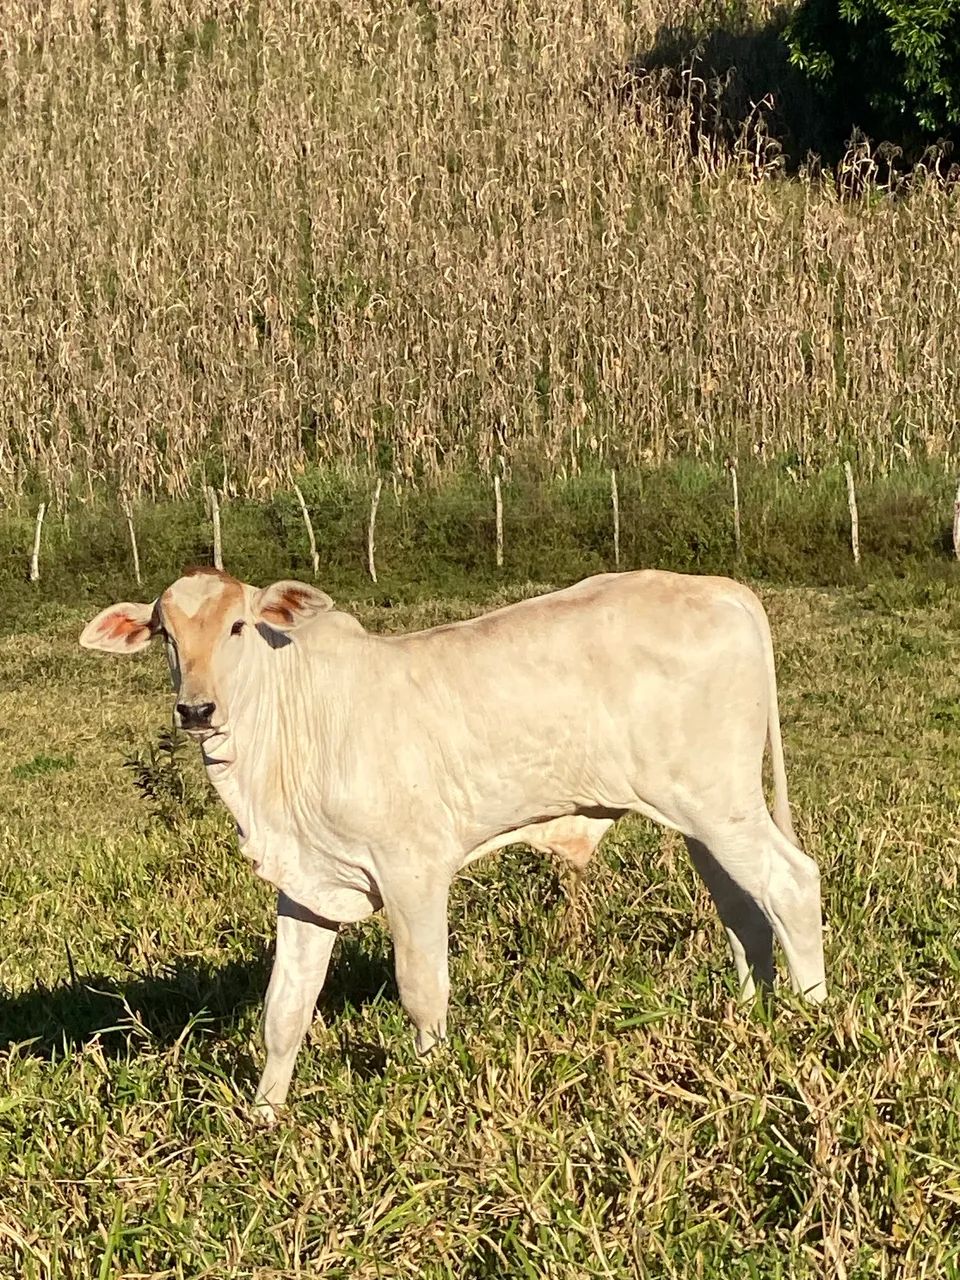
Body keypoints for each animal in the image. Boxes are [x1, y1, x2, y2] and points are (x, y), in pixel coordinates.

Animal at [80, 567, 826, 1118]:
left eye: (237, 626)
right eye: (166, 634)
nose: (196, 709)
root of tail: (725, 589)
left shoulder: (413, 870)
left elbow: (422, 989)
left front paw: (432, 1085)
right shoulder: (308, 886)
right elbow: (284, 1010)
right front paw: (264, 1118)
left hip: (721, 803)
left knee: (791, 885)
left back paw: (813, 1023)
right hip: (702, 816)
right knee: (744, 912)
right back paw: (751, 1018)